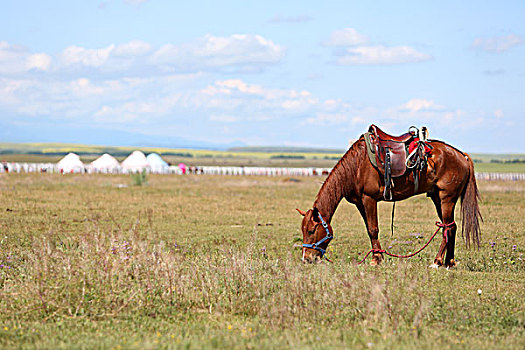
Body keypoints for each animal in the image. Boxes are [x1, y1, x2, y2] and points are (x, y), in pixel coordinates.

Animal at [296, 130, 482, 266]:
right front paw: (378, 256)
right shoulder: (360, 202)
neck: (356, 166)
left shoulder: (369, 198)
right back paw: (447, 262)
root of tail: (462, 156)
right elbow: (369, 229)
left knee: (448, 227)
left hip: (446, 198)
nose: (307, 259)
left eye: (311, 230)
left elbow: (373, 229)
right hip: (437, 197)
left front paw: (376, 260)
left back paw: (439, 262)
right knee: (449, 226)